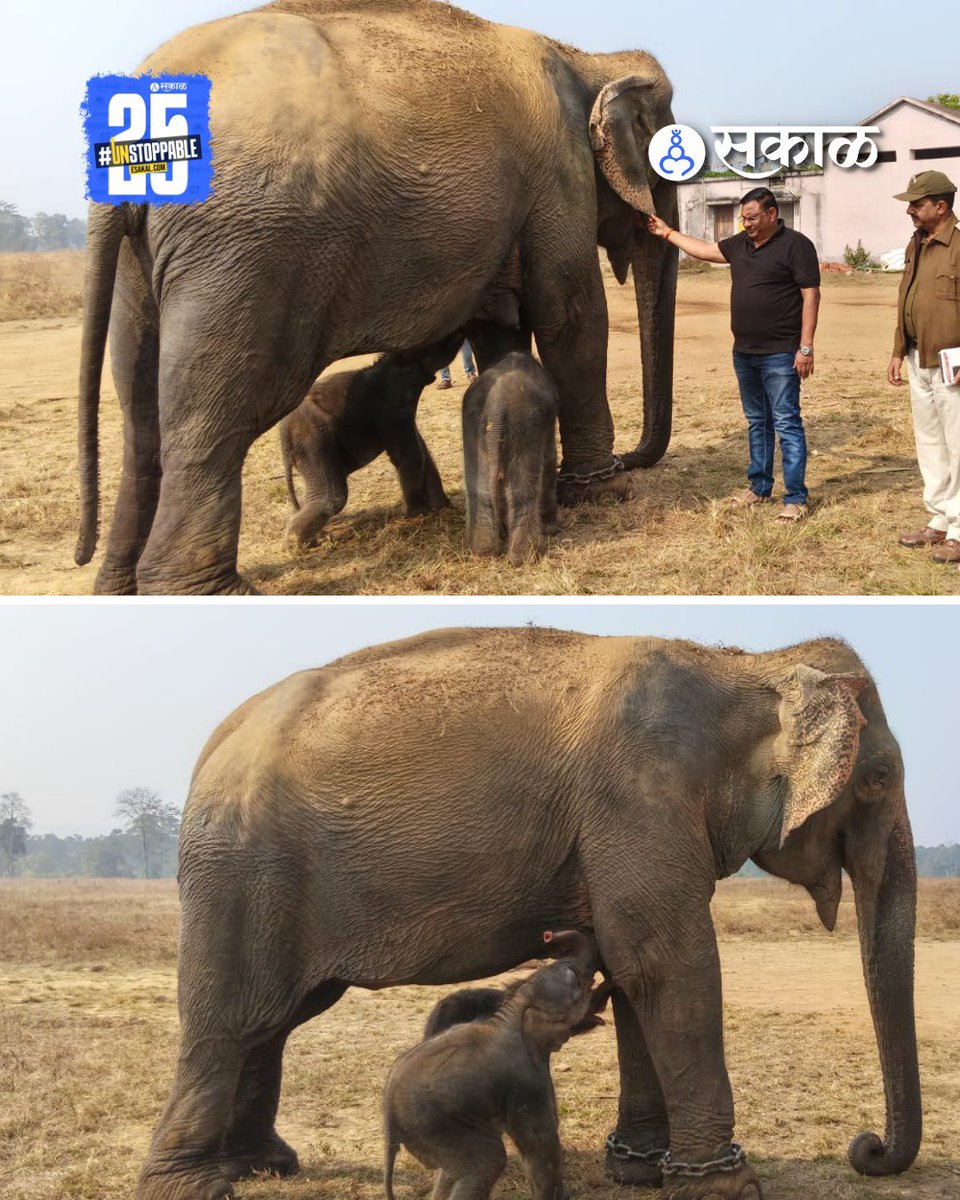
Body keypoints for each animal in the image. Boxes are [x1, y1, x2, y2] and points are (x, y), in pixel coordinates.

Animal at [279, 337, 461, 548]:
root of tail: (284, 434)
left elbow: (422, 452)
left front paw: (443, 508)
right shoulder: (392, 410)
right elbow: (409, 455)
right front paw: (418, 514)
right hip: (313, 442)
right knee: (332, 496)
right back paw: (298, 546)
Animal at [384, 930, 603, 1200]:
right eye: (576, 981)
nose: (549, 935)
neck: (513, 1010)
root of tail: (389, 1121)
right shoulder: (524, 1082)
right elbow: (541, 1141)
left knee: (456, 1169)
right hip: (431, 1124)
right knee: (489, 1161)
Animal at [462, 351, 560, 566]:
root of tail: (496, 406)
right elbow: (549, 459)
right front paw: (552, 530)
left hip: (474, 426)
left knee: (480, 492)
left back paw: (483, 553)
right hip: (522, 426)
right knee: (523, 491)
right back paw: (525, 558)